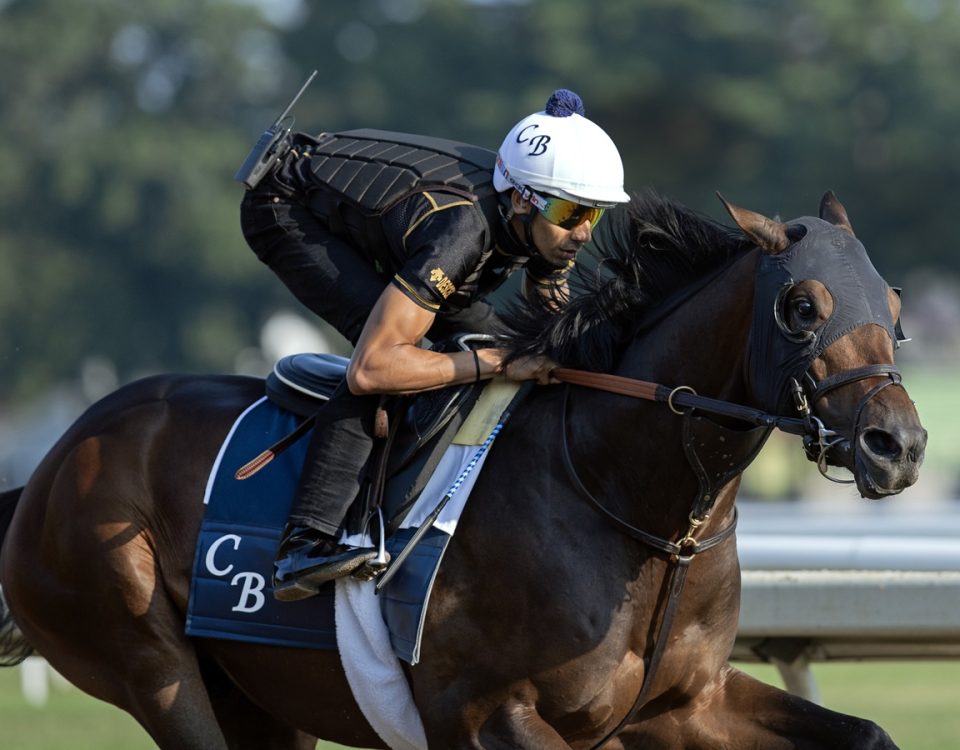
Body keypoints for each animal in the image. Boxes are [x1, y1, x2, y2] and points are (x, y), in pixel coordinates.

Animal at [1, 191, 928, 748]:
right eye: (801, 306)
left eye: (893, 307)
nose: (900, 445)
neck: (634, 510)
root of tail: (50, 465)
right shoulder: (488, 713)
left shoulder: (683, 704)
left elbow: (868, 733)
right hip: (146, 657)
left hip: (259, 696)